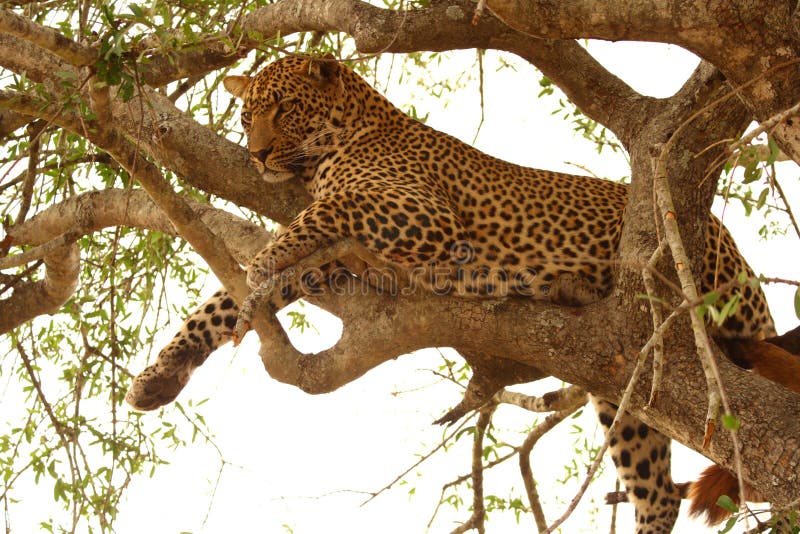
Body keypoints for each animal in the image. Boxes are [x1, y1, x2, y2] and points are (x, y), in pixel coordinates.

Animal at [126, 53, 788, 532]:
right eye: (246, 117)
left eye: (285, 108)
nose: (256, 153)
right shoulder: (341, 260)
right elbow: (219, 303)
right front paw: (163, 372)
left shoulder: (415, 214)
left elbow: (310, 219)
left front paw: (263, 262)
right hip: (624, 394)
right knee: (656, 491)